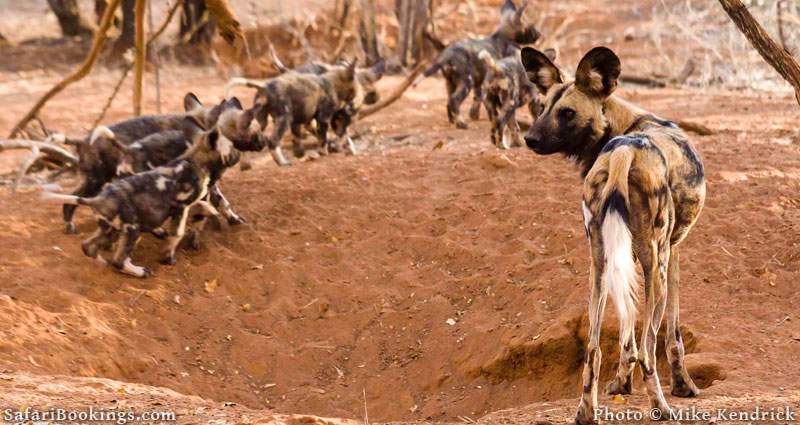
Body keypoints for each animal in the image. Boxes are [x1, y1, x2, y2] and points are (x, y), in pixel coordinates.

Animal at [43, 116, 238, 276]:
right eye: (232, 147)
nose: (239, 154)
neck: (194, 160)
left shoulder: (194, 200)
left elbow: (210, 207)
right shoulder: (183, 206)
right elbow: (178, 233)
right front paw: (168, 257)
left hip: (111, 227)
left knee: (89, 247)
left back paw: (104, 260)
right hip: (128, 224)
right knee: (118, 260)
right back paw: (139, 270)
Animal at [63, 93, 262, 234]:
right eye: (257, 132)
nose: (264, 142)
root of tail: (83, 141)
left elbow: (222, 203)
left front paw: (232, 219)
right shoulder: (203, 181)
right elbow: (215, 204)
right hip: (96, 181)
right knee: (71, 200)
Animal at [422, 0, 540, 129]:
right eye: (531, 27)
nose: (539, 34)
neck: (503, 35)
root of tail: (446, 55)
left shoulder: (480, 81)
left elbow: (478, 99)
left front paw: (475, 116)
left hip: (450, 83)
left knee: (449, 101)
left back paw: (452, 121)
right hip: (466, 82)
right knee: (453, 101)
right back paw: (460, 123)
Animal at [520, 44, 708, 422]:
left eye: (565, 113)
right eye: (542, 108)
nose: (529, 139)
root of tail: (625, 149)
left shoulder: (623, 259)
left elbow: (625, 334)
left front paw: (621, 384)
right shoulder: (672, 256)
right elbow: (671, 337)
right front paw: (684, 386)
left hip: (599, 264)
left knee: (593, 349)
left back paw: (586, 412)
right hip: (656, 264)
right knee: (650, 350)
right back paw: (662, 408)